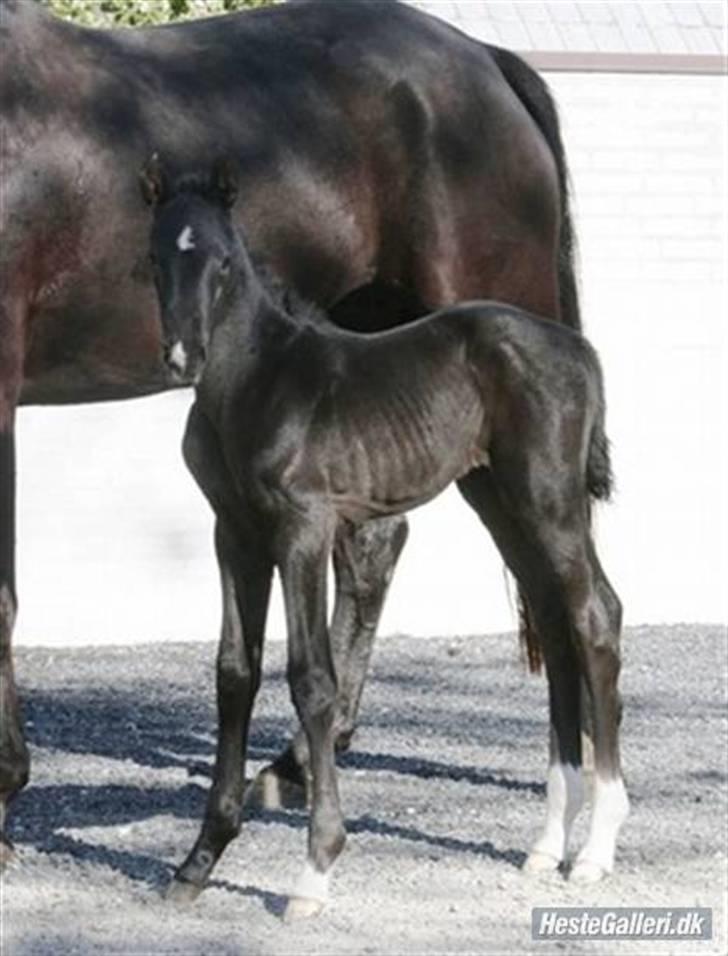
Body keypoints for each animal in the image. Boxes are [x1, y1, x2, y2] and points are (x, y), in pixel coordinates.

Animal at [144, 159, 632, 920]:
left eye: (223, 262)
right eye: (156, 258)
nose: (182, 357)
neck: (255, 381)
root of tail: (579, 348)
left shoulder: (304, 530)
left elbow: (312, 678)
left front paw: (314, 872)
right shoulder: (236, 534)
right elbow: (234, 674)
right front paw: (198, 861)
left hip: (549, 499)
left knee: (595, 615)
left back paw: (597, 849)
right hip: (499, 499)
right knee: (555, 628)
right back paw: (548, 843)